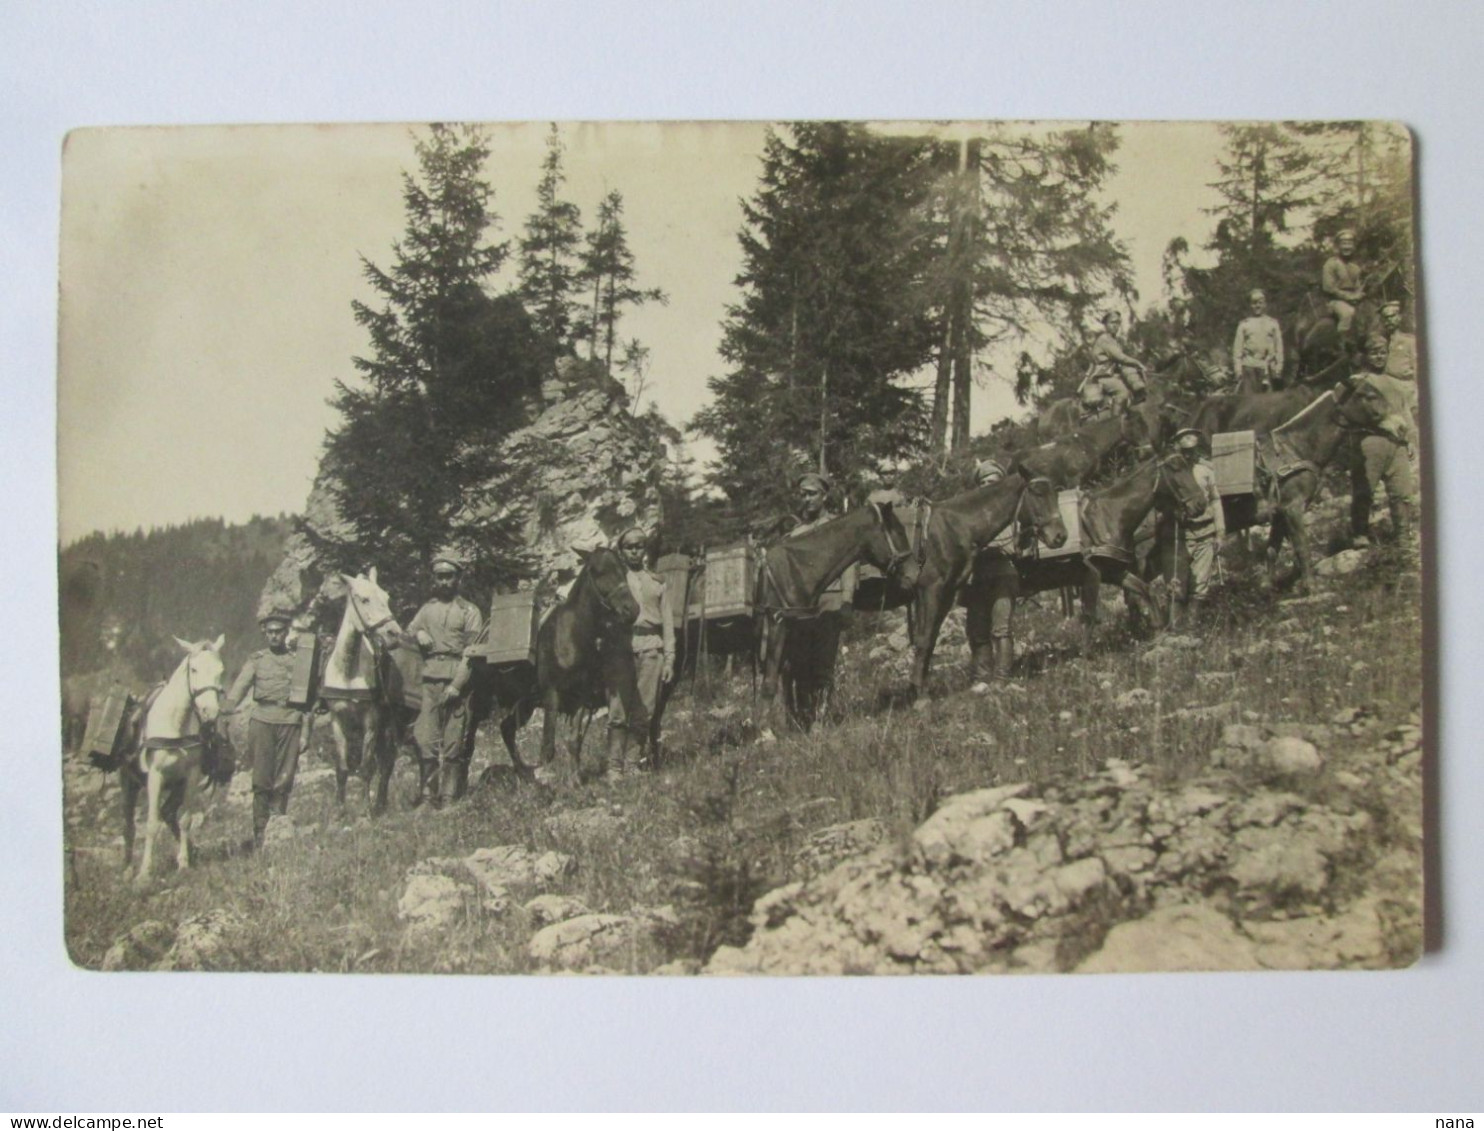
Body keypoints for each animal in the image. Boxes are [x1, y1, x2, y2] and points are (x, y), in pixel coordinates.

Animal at [133, 635, 222, 878]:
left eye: (220, 670)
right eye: (194, 669)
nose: (211, 712)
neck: (175, 723)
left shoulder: (190, 776)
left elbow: (185, 819)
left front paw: (183, 863)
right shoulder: (155, 776)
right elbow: (151, 824)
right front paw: (145, 871)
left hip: (177, 786)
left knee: (169, 813)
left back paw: (191, 850)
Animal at [319, 572, 409, 813]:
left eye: (387, 598)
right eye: (364, 599)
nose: (394, 634)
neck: (348, 670)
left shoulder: (371, 720)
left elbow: (366, 768)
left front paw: (364, 811)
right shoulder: (337, 720)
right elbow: (342, 769)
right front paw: (340, 811)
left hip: (389, 722)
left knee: (387, 762)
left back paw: (379, 804)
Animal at [890, 469, 1068, 697]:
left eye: (1055, 494)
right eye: (1037, 493)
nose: (1060, 536)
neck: (952, 527)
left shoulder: (943, 594)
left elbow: (929, 639)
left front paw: (916, 688)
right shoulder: (930, 591)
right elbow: (925, 639)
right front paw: (920, 694)